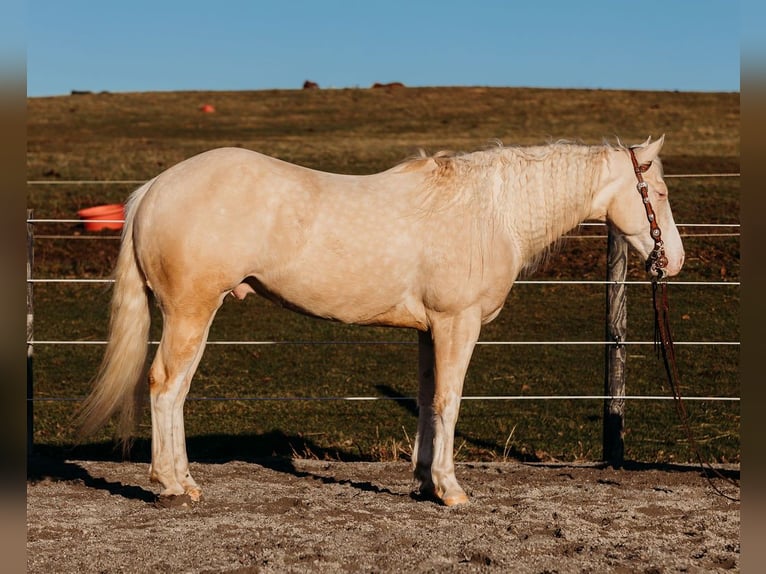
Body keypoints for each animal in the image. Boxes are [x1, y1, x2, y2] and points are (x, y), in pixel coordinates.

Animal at [78, 136, 684, 506]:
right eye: (656, 192)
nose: (672, 261)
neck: (491, 214)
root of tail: (153, 189)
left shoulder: (429, 332)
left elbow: (428, 402)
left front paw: (423, 481)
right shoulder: (458, 324)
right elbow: (449, 402)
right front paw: (450, 490)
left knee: (176, 392)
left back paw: (184, 479)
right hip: (191, 312)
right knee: (164, 386)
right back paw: (169, 485)